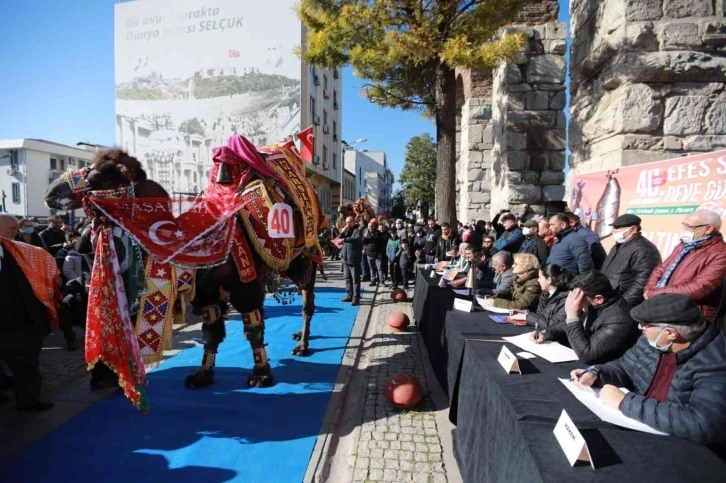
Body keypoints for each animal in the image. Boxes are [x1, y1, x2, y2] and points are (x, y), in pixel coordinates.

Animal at [44, 132, 328, 412]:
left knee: (308, 300)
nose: (52, 191)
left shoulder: (245, 284)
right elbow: (211, 333)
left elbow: (253, 328)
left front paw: (261, 375)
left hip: (303, 259)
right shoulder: (207, 292)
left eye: (97, 175)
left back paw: (302, 344)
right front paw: (202, 375)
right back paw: (299, 337)